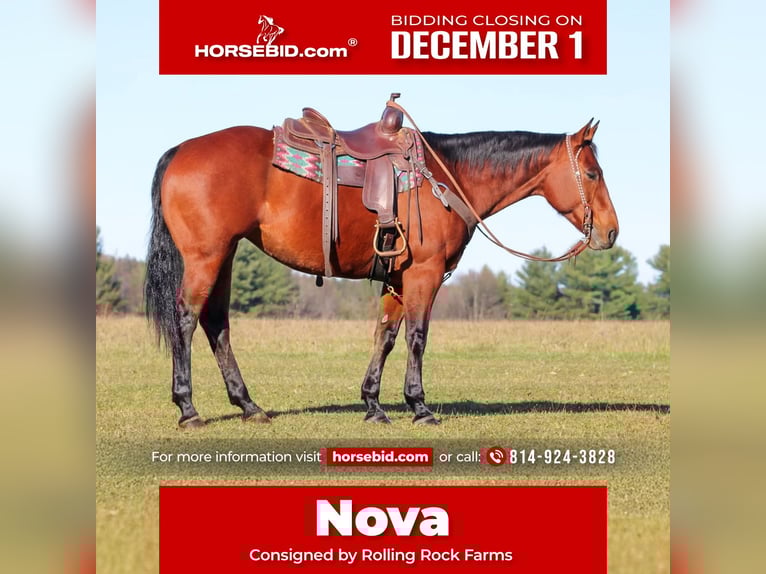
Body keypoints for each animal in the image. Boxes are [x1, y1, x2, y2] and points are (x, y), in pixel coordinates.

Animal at [144, 109, 618, 429]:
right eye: (593, 173)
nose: (611, 231)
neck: (445, 176)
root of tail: (181, 150)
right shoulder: (424, 274)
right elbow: (416, 338)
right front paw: (419, 406)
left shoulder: (396, 279)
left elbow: (385, 337)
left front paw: (373, 405)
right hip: (205, 258)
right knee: (186, 320)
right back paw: (188, 408)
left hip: (224, 257)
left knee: (216, 324)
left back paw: (248, 406)